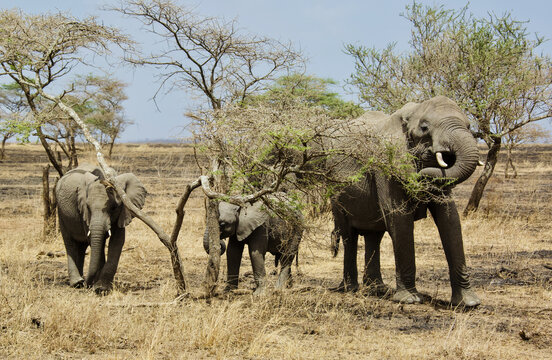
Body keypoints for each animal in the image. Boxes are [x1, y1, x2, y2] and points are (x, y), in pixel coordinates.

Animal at [56, 163, 147, 292]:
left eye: (114, 208)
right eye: (88, 207)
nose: (87, 285)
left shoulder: (123, 211)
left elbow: (118, 241)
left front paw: (101, 288)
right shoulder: (84, 213)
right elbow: (96, 241)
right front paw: (98, 287)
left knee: (81, 246)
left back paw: (80, 281)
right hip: (61, 213)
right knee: (70, 243)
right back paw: (77, 283)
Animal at [330, 95, 480, 306]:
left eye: (468, 126)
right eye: (424, 128)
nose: (420, 176)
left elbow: (450, 219)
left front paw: (468, 303)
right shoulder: (386, 163)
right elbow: (400, 218)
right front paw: (409, 300)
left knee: (374, 235)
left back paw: (378, 289)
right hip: (336, 193)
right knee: (349, 235)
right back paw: (350, 289)